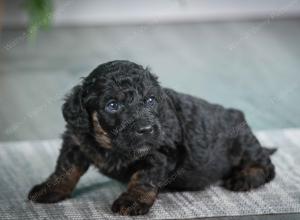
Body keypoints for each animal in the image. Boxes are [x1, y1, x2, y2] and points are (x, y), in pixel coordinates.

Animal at [28, 61, 276, 216]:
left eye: (150, 100)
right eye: (112, 105)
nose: (146, 129)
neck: (112, 146)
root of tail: (238, 114)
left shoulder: (161, 153)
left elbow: (143, 177)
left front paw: (132, 201)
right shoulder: (77, 139)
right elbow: (65, 168)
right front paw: (49, 189)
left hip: (242, 143)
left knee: (267, 167)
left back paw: (244, 178)